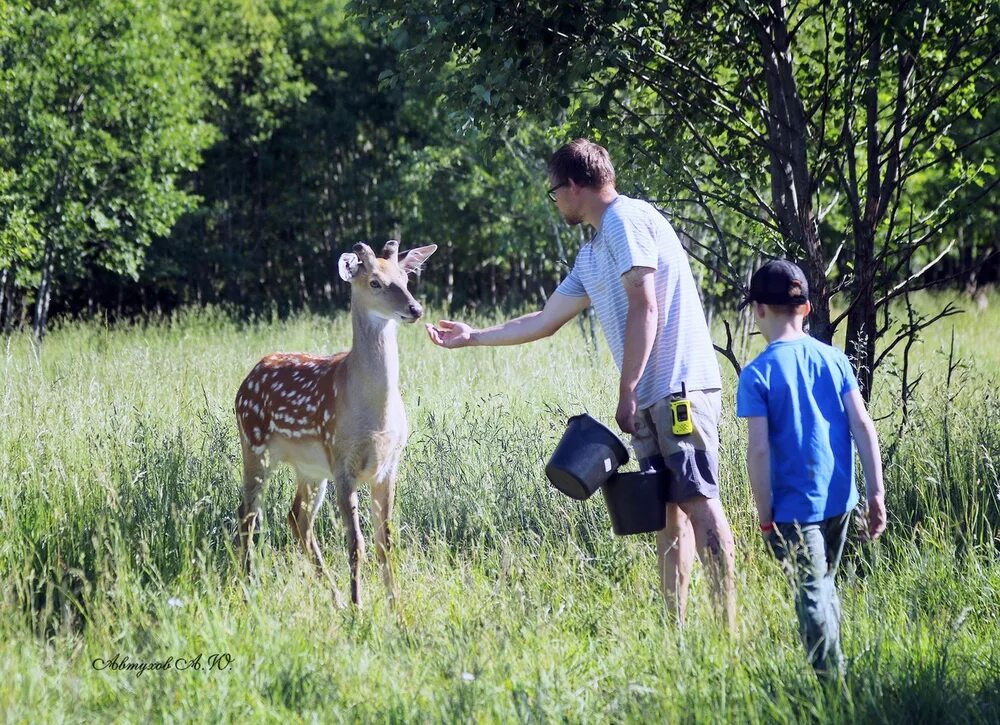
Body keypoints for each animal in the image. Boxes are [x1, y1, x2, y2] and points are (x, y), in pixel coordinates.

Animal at [236, 239, 440, 604]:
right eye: (374, 282)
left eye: (405, 278)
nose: (415, 309)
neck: (374, 416)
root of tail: (247, 380)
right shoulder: (343, 462)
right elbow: (356, 543)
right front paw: (360, 607)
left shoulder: (389, 466)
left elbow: (385, 542)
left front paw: (395, 605)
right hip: (255, 444)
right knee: (248, 513)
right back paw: (250, 587)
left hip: (310, 469)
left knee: (297, 517)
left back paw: (334, 596)